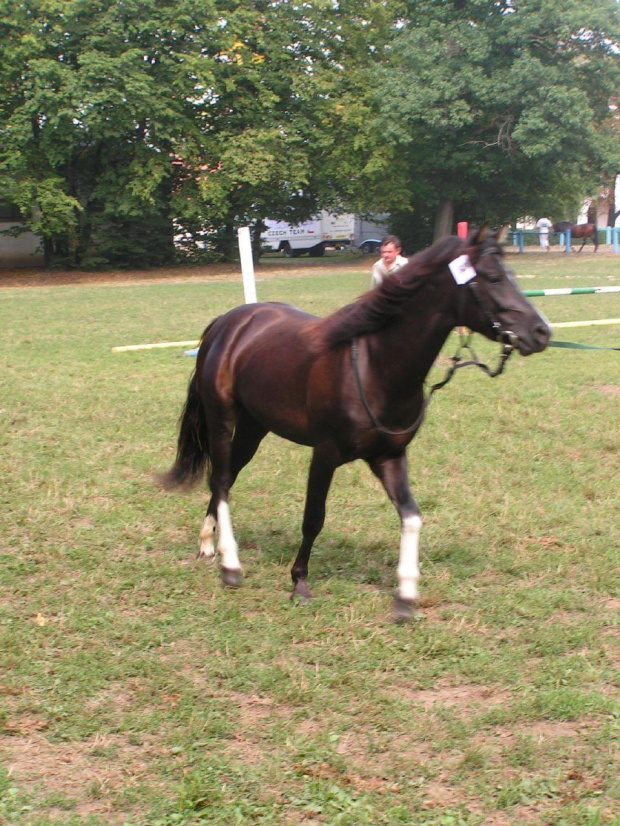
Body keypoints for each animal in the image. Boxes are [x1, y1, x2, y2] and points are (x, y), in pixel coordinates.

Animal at [162, 227, 548, 616]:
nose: (541, 332)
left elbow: (412, 517)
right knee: (221, 480)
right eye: (494, 277)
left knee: (224, 480)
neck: (375, 367)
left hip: (255, 427)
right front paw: (299, 582)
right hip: (222, 419)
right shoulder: (325, 454)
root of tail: (226, 324)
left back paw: (208, 544)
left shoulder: (389, 457)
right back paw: (230, 565)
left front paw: (406, 595)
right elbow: (313, 517)